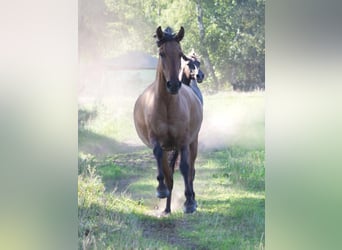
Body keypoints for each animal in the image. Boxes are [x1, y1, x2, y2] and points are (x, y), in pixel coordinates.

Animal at [134, 27, 203, 215]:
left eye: (180, 54)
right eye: (162, 53)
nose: (173, 85)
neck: (166, 104)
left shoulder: (184, 141)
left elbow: (185, 168)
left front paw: (189, 202)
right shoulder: (156, 139)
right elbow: (161, 161)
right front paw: (161, 189)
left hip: (193, 142)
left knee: (191, 169)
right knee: (169, 171)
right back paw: (167, 206)